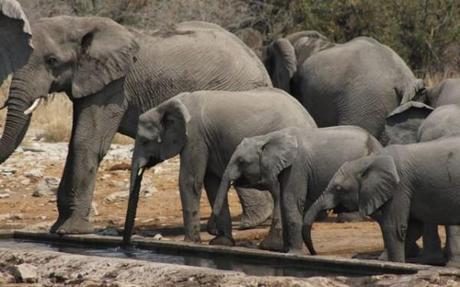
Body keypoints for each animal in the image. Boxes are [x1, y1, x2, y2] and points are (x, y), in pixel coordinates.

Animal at [0, 14, 276, 235]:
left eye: (52, 60)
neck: (81, 23)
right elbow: (76, 141)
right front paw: (57, 229)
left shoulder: (115, 87)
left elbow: (86, 142)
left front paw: (70, 231)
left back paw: (248, 223)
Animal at [122, 88, 316, 245]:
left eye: (145, 141)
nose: (127, 243)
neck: (168, 104)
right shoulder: (207, 142)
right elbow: (212, 184)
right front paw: (221, 242)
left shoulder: (195, 137)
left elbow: (190, 181)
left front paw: (190, 242)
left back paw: (271, 246)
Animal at [212, 126, 380, 254]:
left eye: (242, 161)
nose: (213, 232)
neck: (267, 138)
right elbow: (283, 200)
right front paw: (284, 250)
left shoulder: (297, 167)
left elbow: (290, 200)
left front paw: (293, 253)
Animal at [302, 138, 460, 266]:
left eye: (339, 188)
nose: (314, 253)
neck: (370, 160)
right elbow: (412, 228)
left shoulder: (400, 186)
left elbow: (396, 227)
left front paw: (396, 266)